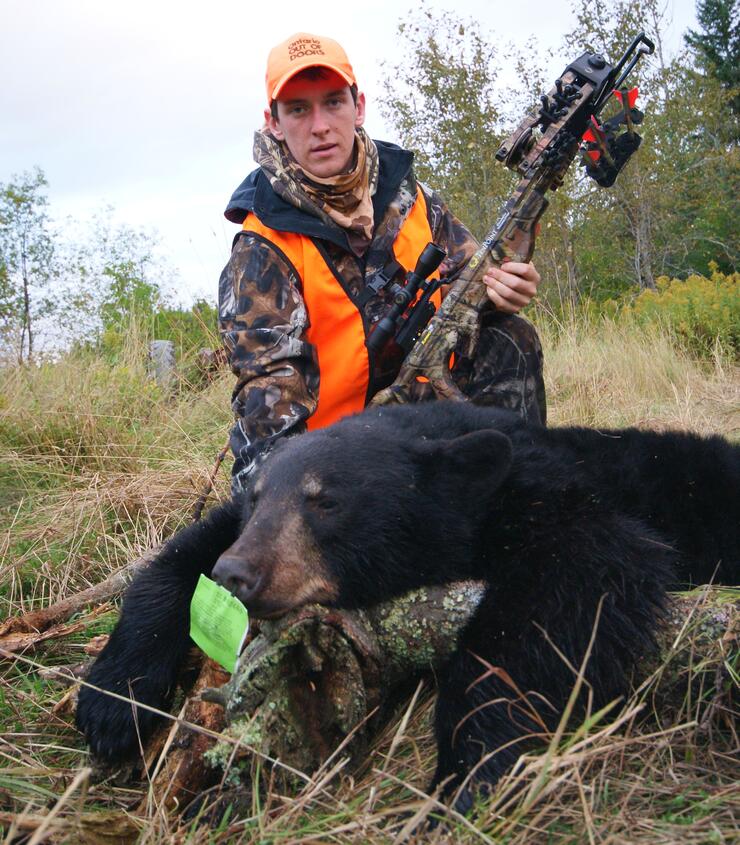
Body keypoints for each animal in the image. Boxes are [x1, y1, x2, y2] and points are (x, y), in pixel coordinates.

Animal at [76, 401, 739, 811]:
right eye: (259, 498)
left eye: (327, 501)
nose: (237, 574)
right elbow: (173, 562)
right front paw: (111, 702)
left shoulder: (554, 498)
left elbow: (573, 580)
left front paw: (470, 769)